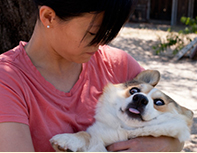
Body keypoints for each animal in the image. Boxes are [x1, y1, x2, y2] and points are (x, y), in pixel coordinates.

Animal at [50, 70, 193, 151]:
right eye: (134, 90)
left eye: (159, 102)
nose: (140, 99)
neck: (125, 130)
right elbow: (85, 135)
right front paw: (67, 139)